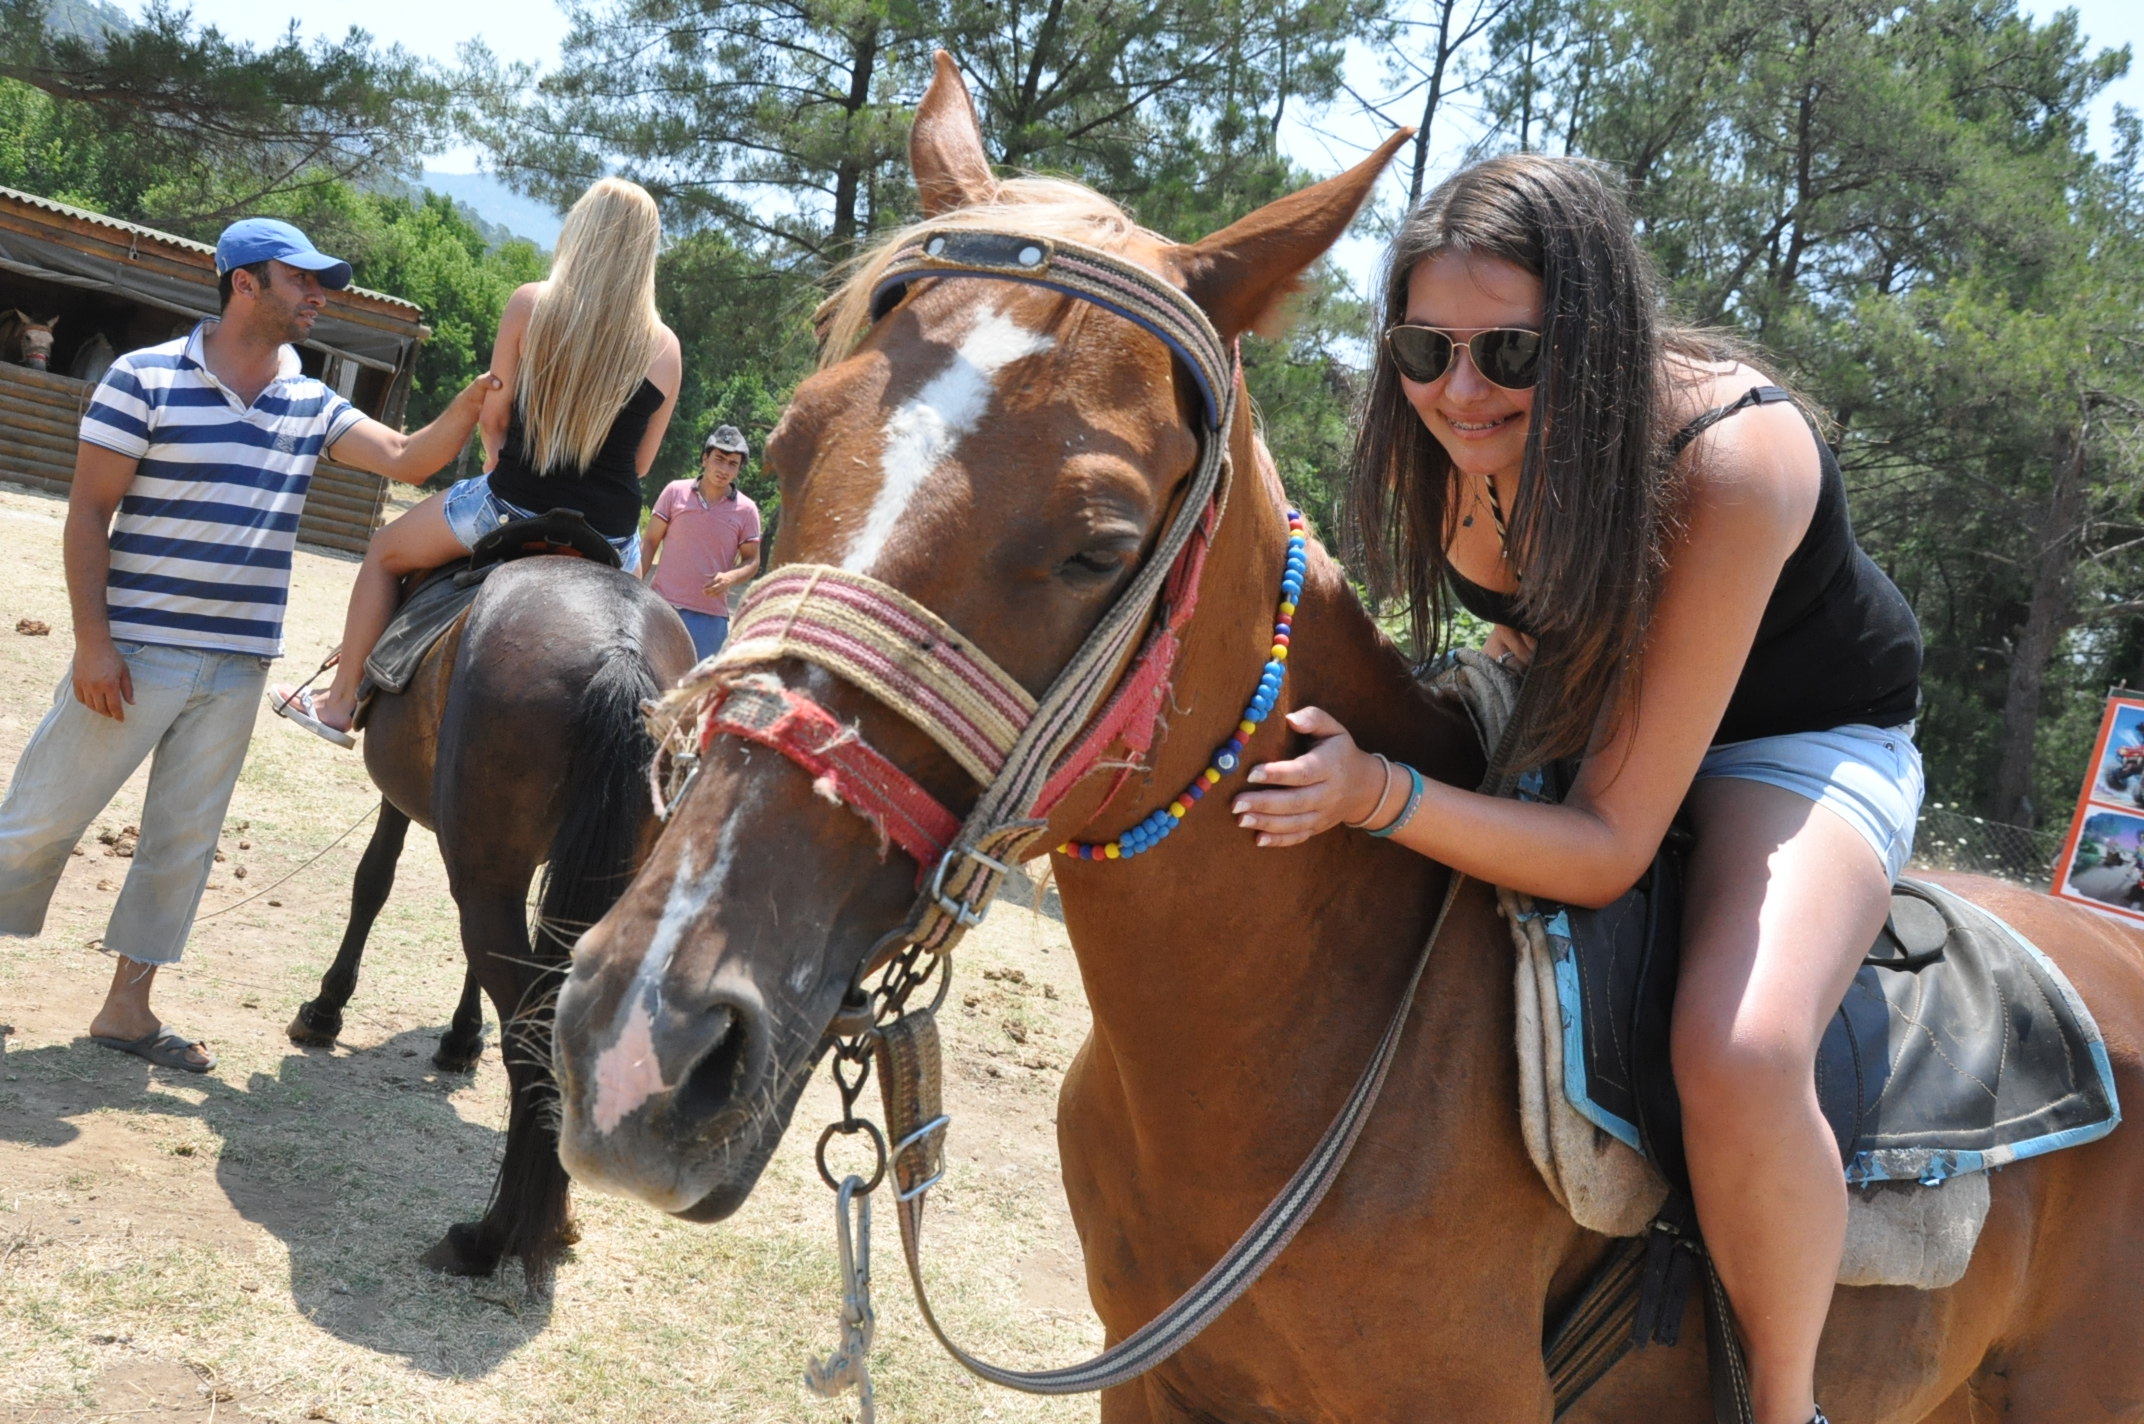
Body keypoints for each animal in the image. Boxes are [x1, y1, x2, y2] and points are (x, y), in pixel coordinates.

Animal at [288, 556, 695, 1289]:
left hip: (484, 872)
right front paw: (460, 1037)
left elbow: (373, 880)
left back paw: (489, 1239)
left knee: (531, 1042)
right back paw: (552, 1219)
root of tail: (617, 647)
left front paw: (326, 1009)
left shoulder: (410, 807)